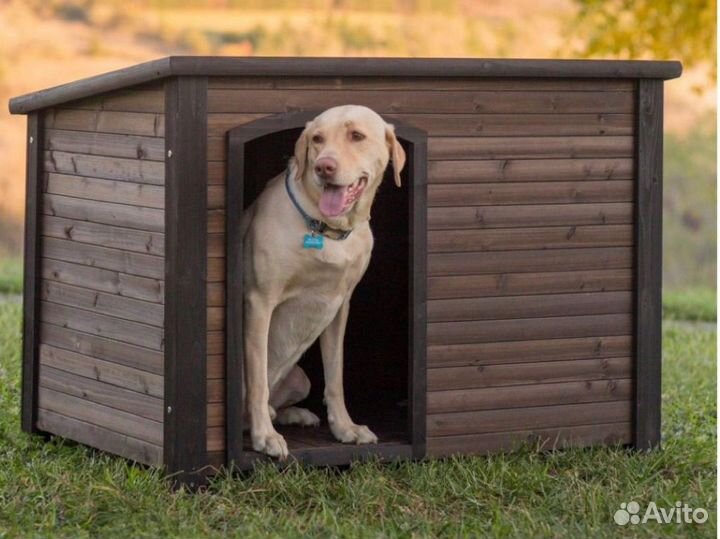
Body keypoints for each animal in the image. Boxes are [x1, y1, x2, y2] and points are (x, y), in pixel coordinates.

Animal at [242, 105, 408, 460]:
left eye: (356, 135)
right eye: (317, 139)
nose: (324, 166)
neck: (324, 228)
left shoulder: (339, 306)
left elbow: (335, 376)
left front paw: (345, 428)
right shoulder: (260, 301)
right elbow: (257, 380)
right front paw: (265, 436)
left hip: (300, 377)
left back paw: (293, 414)